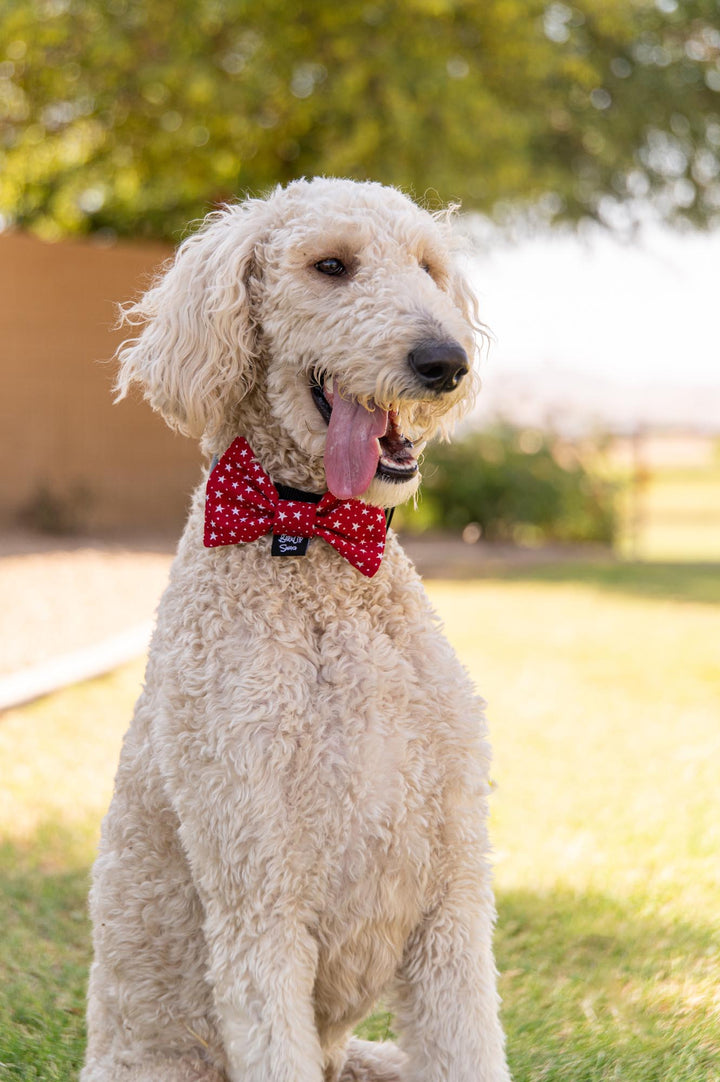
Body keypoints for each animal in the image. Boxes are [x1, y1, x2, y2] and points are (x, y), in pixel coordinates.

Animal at [82, 179, 511, 1082]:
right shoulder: (259, 896)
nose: (445, 362)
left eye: (428, 266)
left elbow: (470, 1045)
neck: (318, 551)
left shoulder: (453, 892)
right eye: (331, 266)